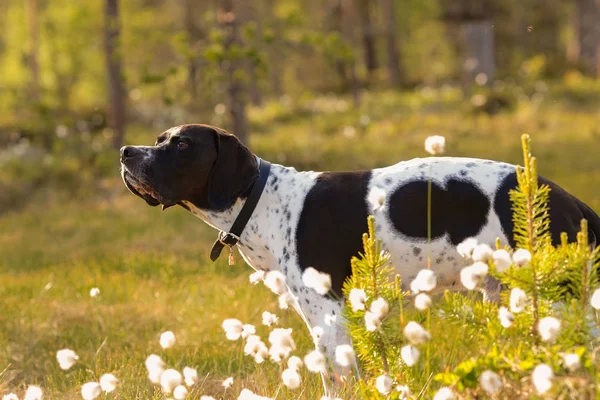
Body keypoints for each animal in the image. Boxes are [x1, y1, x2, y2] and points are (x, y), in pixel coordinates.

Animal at [118, 123, 600, 368]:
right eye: (158, 140)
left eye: (181, 143)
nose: (125, 152)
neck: (264, 200)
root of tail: (568, 198)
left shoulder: (328, 316)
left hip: (558, 299)